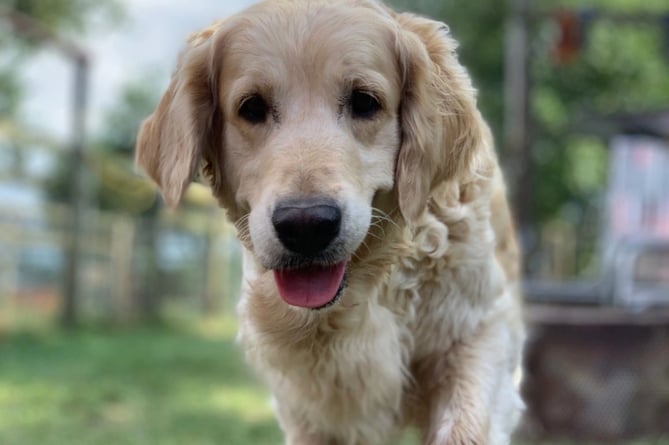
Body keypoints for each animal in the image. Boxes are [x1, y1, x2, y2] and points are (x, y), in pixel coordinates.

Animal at [134, 1, 520, 442]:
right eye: (252, 108)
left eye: (365, 102)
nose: (306, 226)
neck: (372, 282)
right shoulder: (312, 403)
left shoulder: (480, 329)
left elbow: (465, 423)